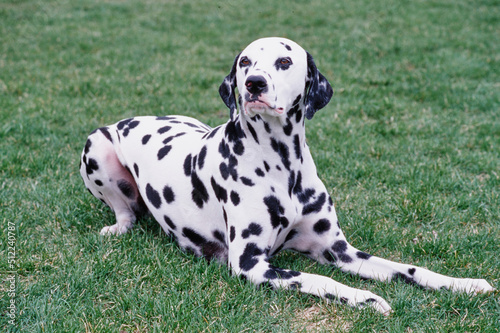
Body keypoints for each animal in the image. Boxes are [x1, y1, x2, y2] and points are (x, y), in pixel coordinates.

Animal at [80, 37, 494, 314]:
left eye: (283, 61)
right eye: (246, 61)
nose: (254, 84)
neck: (283, 165)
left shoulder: (341, 250)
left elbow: (408, 268)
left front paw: (463, 283)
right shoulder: (251, 264)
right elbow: (316, 278)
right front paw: (365, 297)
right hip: (95, 147)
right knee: (127, 212)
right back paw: (118, 227)